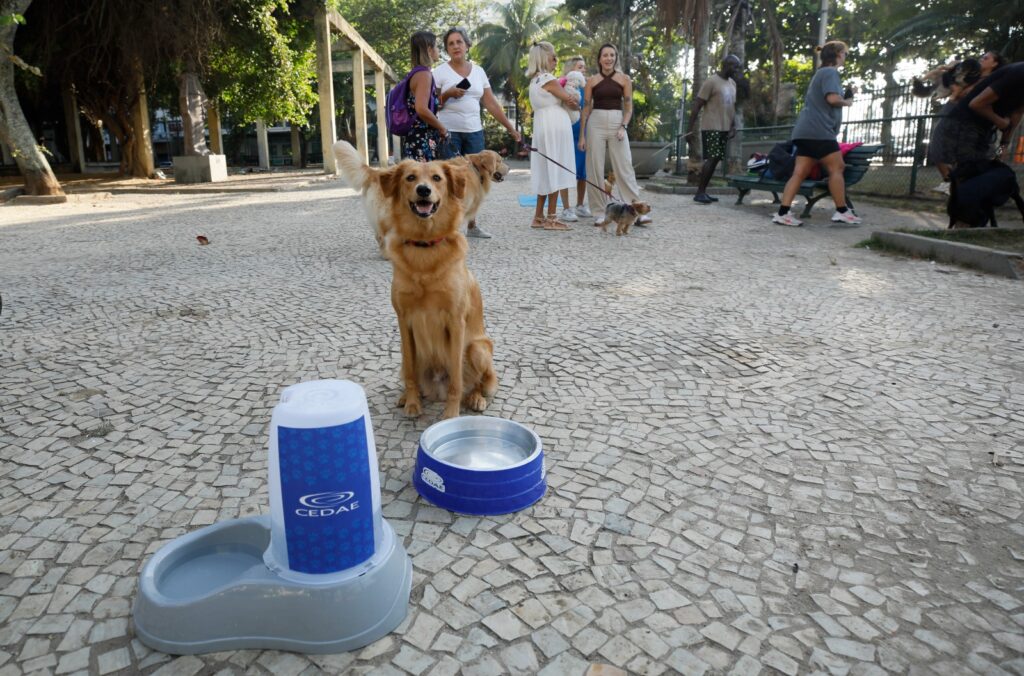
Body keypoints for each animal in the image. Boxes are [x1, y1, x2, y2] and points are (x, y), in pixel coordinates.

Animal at [332, 140, 498, 418]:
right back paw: (406, 396)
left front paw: (451, 414)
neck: (425, 246)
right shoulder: (405, 320)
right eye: (410, 178)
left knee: (478, 382)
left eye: (437, 178)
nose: (423, 190)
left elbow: (456, 379)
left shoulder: (455, 321)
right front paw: (411, 402)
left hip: (479, 348)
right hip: (406, 351)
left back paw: (475, 398)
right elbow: (410, 372)